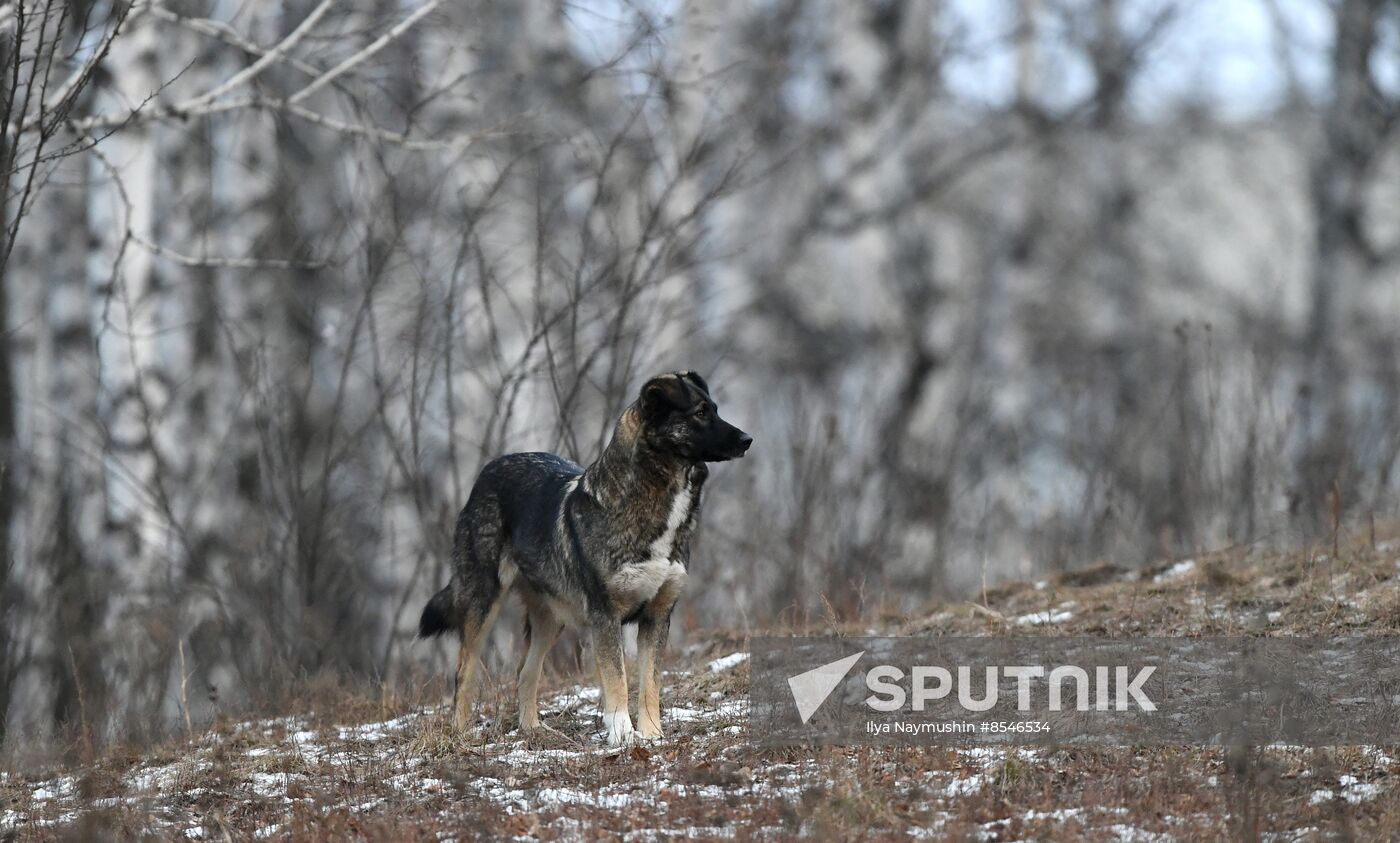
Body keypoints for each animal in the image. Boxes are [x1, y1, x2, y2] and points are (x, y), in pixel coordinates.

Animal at [417, 366, 756, 739]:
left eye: (716, 409)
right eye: (700, 412)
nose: (747, 440)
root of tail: (489, 471)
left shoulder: (656, 616)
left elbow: (649, 684)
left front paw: (652, 736)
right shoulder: (605, 617)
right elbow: (618, 681)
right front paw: (622, 736)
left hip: (552, 617)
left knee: (525, 673)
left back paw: (533, 732)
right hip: (484, 602)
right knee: (464, 673)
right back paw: (462, 733)